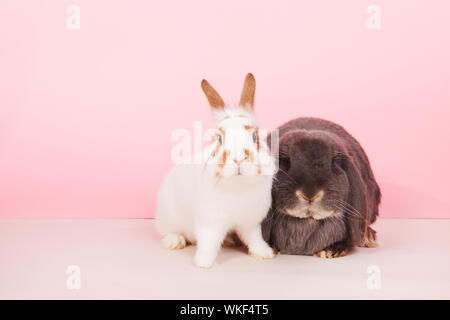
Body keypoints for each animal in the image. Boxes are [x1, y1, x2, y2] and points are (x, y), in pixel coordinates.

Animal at [156, 72, 278, 268]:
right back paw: (175, 241)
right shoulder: (210, 222)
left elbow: (254, 238)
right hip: (168, 217)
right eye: (219, 138)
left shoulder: (250, 222)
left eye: (254, 136)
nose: (238, 158)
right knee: (168, 231)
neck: (238, 187)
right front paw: (204, 263)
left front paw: (264, 253)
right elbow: (209, 243)